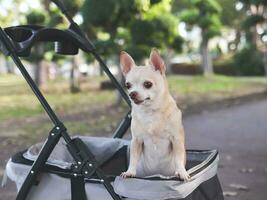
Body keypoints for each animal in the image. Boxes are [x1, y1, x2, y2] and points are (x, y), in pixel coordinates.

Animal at [120, 48, 189, 181]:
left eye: (148, 84)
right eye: (128, 85)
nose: (132, 94)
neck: (150, 112)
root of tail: (156, 175)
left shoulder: (176, 139)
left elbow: (178, 157)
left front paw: (181, 172)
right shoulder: (136, 141)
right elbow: (133, 158)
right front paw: (130, 171)